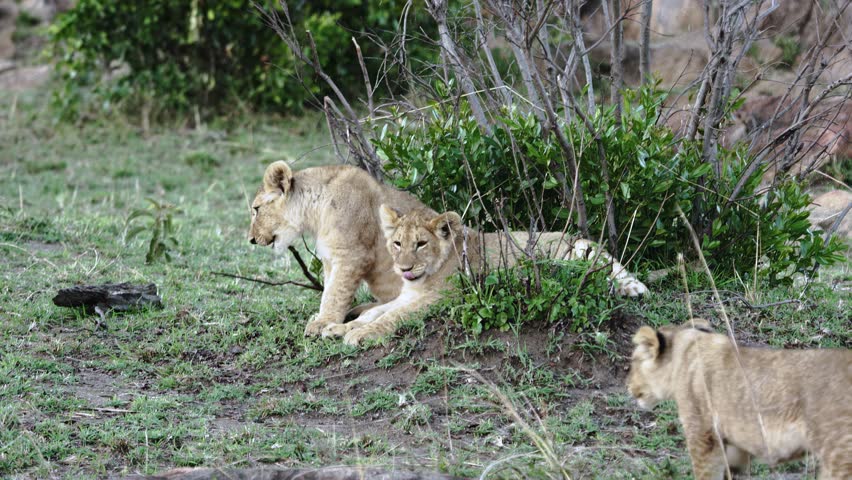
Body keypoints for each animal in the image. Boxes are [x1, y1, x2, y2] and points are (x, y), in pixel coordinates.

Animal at [248, 161, 432, 335]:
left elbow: (336, 292)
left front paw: (322, 322)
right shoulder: (330, 257)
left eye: (256, 209)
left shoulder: (353, 255)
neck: (315, 213)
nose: (251, 240)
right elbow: (328, 288)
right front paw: (321, 317)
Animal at [322, 205, 648, 345]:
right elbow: (375, 312)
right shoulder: (408, 295)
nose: (403, 269)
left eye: (421, 244)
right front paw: (339, 328)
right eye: (398, 243)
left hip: (581, 252)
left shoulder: (439, 299)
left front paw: (359, 334)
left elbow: (391, 317)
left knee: (619, 280)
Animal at [627, 319, 852, 480]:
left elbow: (705, 474)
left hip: (838, 453)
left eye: (633, 363)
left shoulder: (703, 435)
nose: (627, 387)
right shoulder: (735, 447)